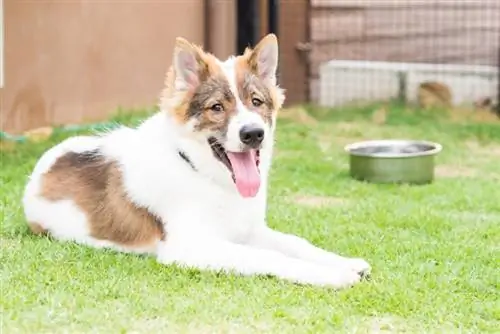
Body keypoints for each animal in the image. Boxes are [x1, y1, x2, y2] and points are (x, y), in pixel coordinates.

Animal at [22, 34, 372, 290]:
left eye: (256, 102)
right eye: (216, 108)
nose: (253, 134)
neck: (208, 179)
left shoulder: (249, 230)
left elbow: (296, 243)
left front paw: (343, 262)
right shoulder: (188, 246)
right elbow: (265, 257)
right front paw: (331, 275)